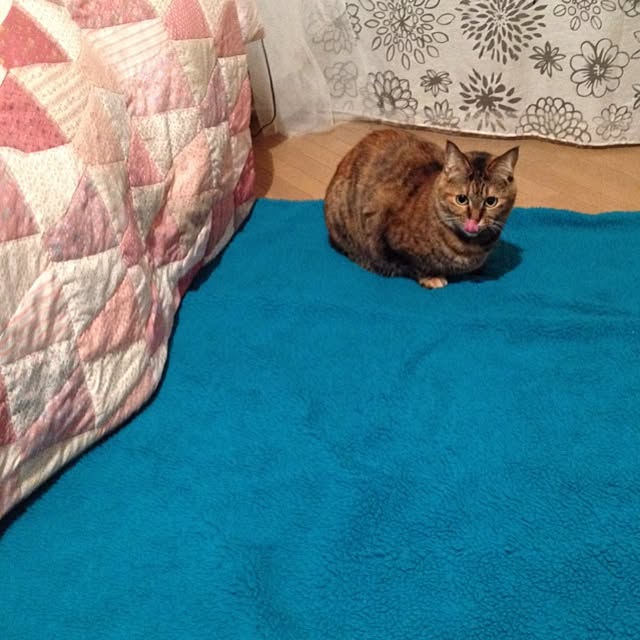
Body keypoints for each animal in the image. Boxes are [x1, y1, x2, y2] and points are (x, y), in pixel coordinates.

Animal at [324, 128, 519, 289]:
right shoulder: (384, 231)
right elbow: (414, 264)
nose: (474, 220)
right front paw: (432, 277)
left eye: (491, 201)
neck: (470, 247)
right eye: (461, 199)